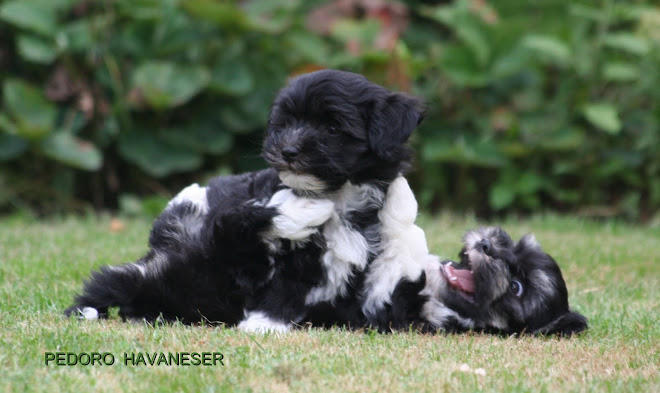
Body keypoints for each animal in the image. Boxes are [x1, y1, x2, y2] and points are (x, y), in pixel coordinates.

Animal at [65, 68, 428, 330]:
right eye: (285, 123)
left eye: (333, 128)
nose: (288, 150)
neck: (338, 194)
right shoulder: (238, 252)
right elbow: (249, 227)